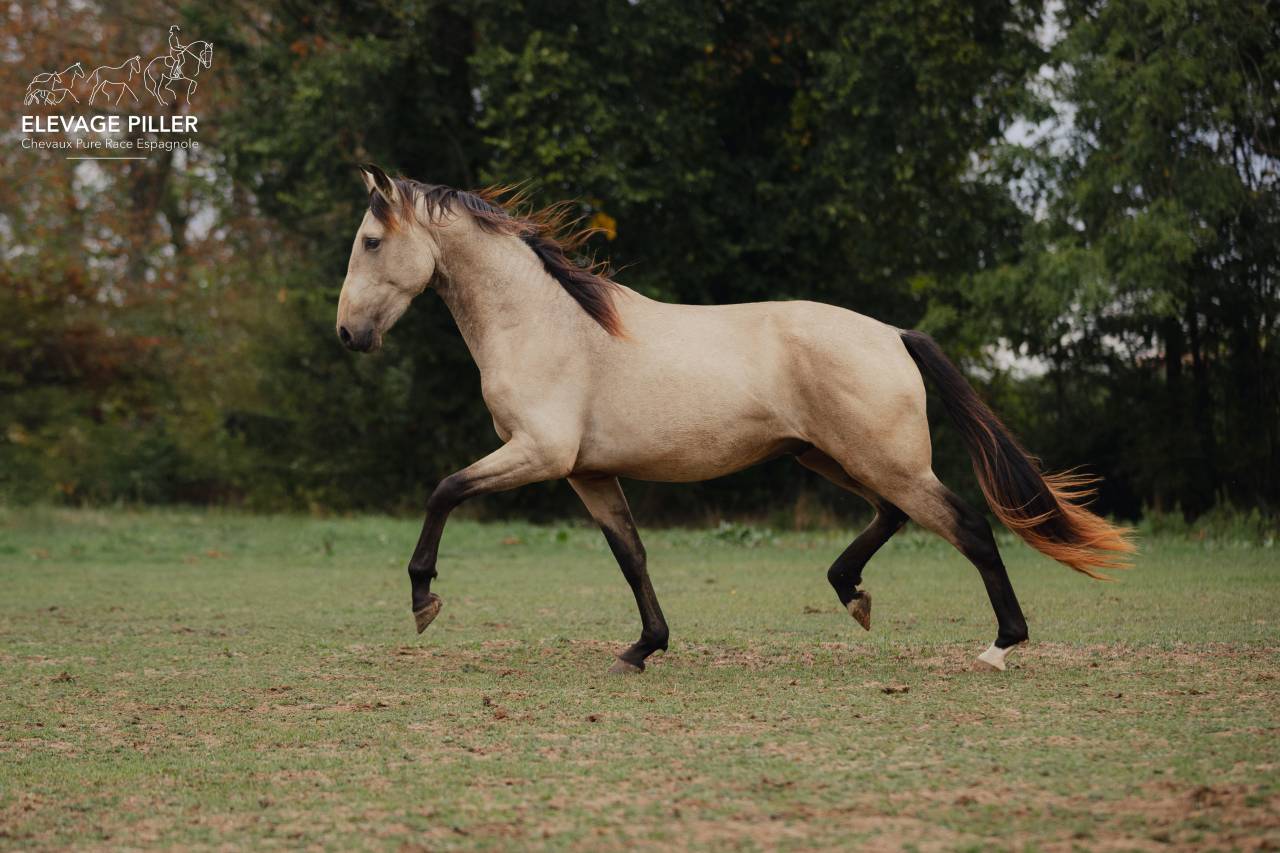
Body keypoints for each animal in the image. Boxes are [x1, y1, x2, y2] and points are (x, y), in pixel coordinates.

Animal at [336, 164, 1135, 675]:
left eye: (371, 242)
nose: (349, 334)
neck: (544, 324)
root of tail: (893, 333)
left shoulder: (539, 453)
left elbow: (443, 489)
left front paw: (423, 598)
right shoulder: (587, 473)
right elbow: (631, 555)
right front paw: (644, 648)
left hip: (884, 460)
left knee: (965, 524)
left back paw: (1000, 645)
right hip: (832, 456)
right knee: (893, 516)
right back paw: (852, 593)